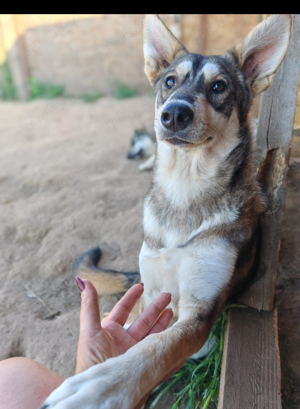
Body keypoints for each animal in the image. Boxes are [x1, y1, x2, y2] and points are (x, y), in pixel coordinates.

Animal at [41, 13, 290, 408]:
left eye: (219, 86)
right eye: (170, 82)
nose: (173, 113)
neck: (183, 192)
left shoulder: (198, 313)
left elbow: (153, 348)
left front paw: (97, 388)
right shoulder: (151, 288)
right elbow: (135, 334)